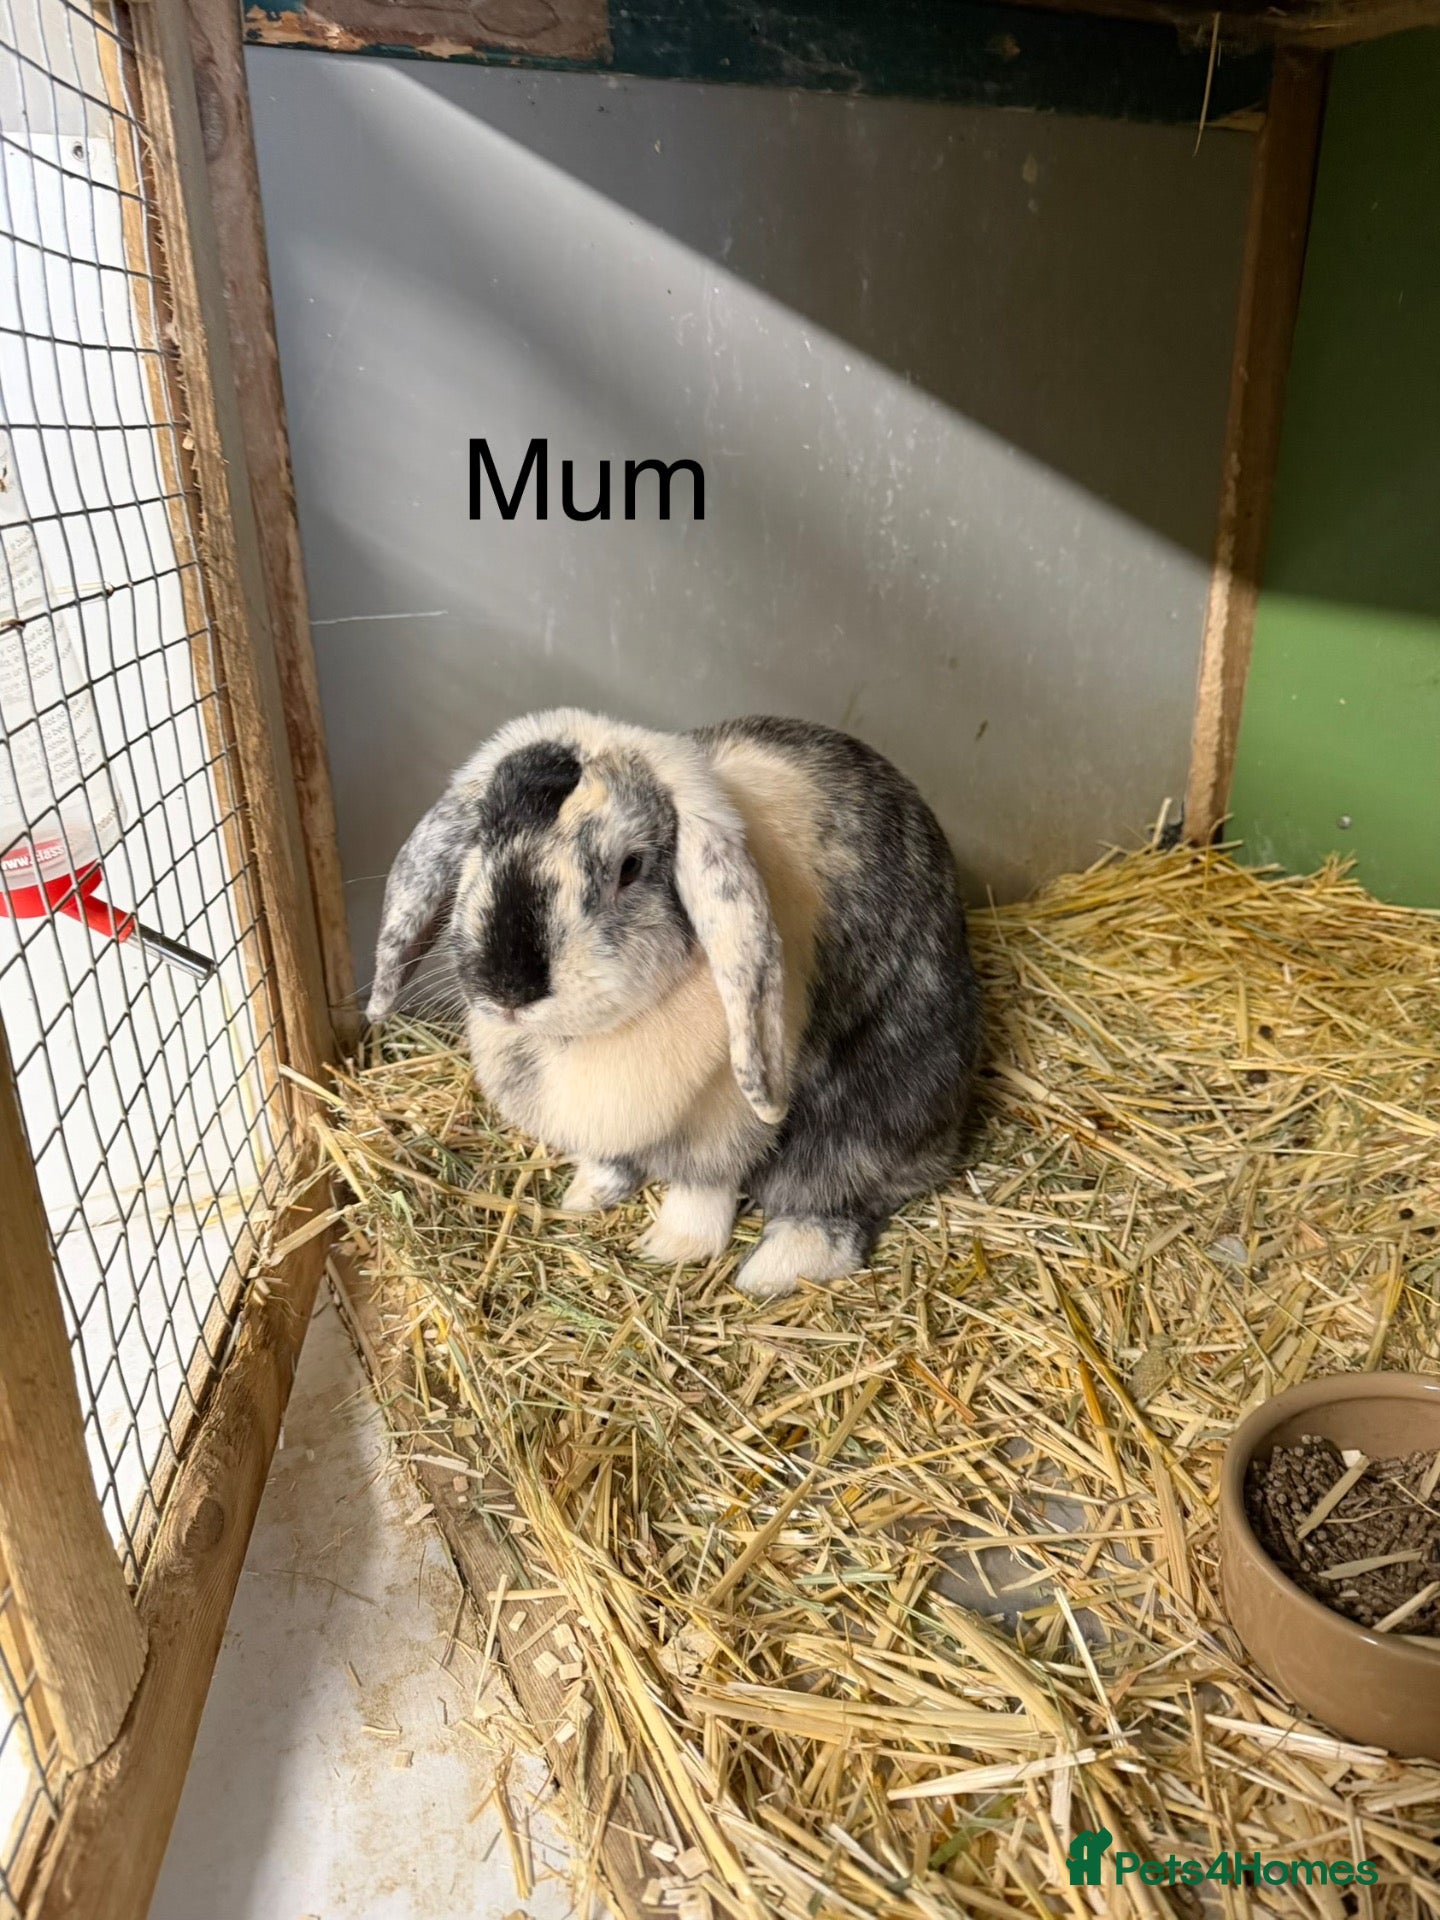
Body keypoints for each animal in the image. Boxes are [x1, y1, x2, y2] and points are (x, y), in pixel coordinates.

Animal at [367, 711, 981, 1300]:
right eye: (481, 839)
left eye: (631, 867)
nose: (508, 989)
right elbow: (611, 1158)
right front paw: (584, 1195)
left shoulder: (719, 1128)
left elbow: (702, 1187)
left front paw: (671, 1247)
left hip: (877, 1110)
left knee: (838, 1192)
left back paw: (772, 1270)